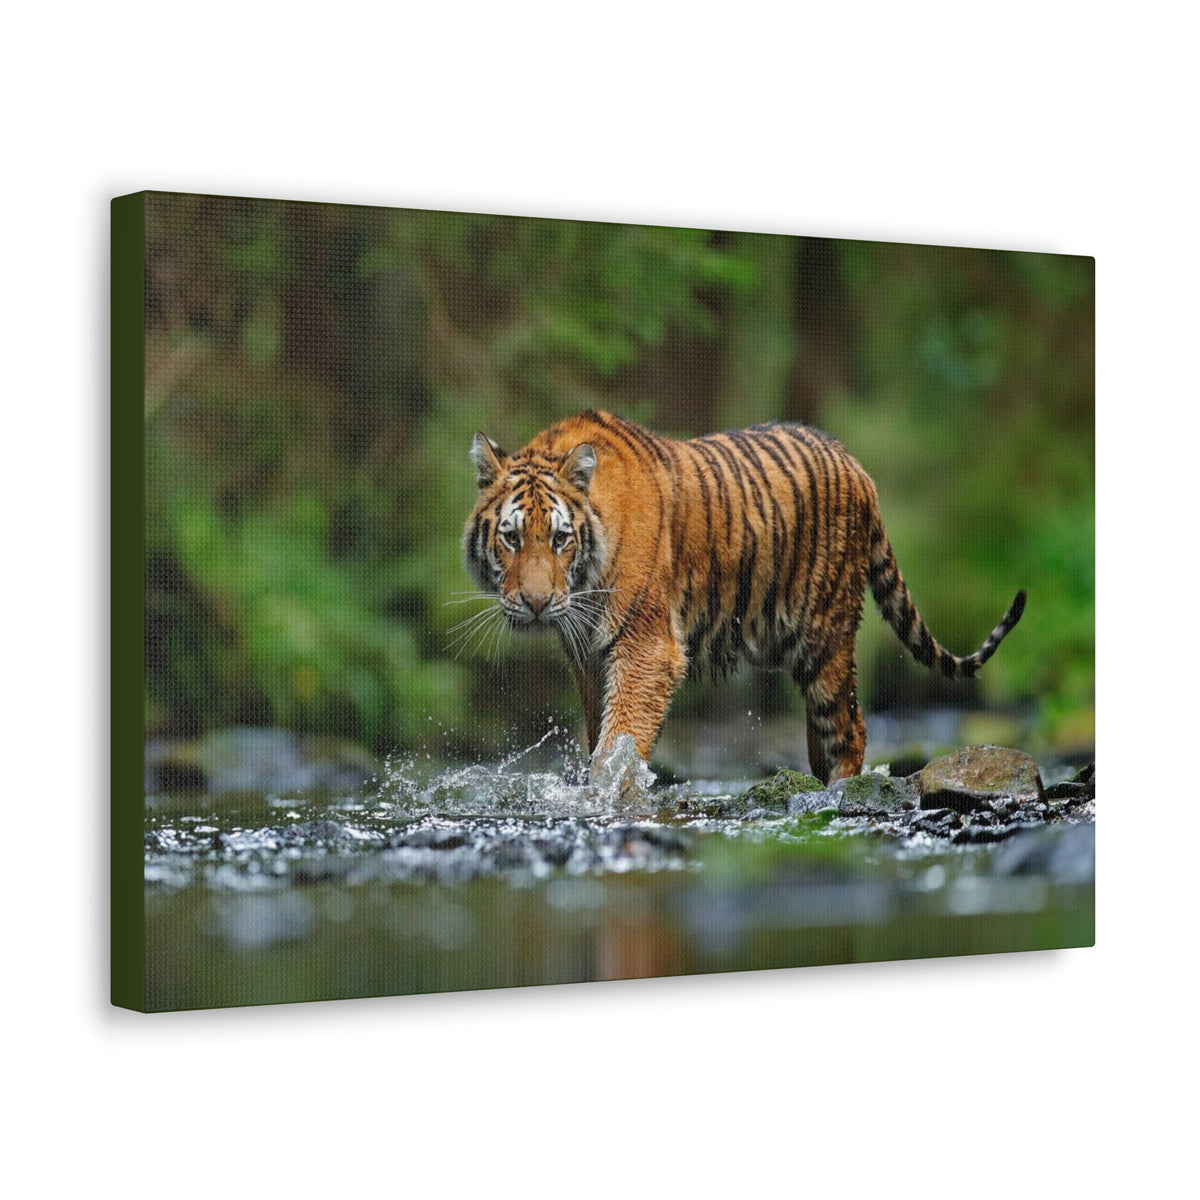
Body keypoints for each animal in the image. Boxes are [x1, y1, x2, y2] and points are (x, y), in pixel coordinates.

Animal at [462, 409, 1025, 790]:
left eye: (561, 539)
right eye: (512, 537)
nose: (537, 603)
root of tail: (857, 465)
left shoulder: (647, 647)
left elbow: (618, 740)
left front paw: (606, 794)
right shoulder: (588, 656)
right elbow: (599, 730)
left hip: (825, 636)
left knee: (852, 728)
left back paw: (840, 793)